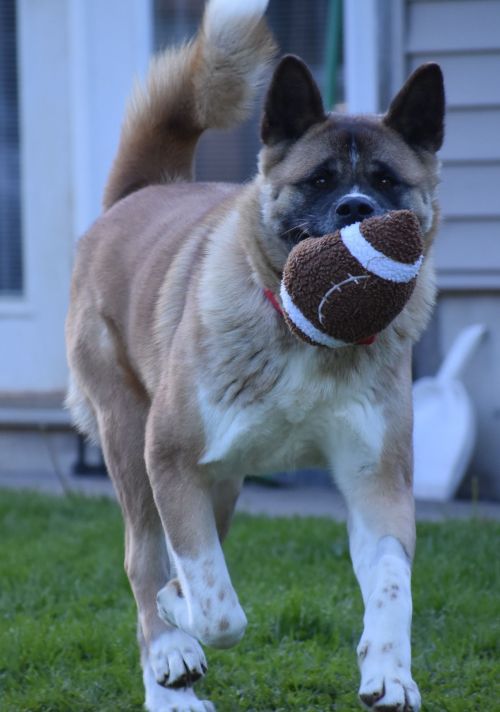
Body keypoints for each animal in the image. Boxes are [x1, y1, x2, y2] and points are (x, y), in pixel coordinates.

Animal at [65, 2, 446, 708]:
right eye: (319, 180)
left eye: (387, 182)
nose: (358, 208)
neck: (308, 335)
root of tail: (139, 193)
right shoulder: (171, 456)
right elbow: (217, 609)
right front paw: (181, 622)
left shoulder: (375, 479)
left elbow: (391, 581)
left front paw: (388, 671)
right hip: (131, 438)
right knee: (144, 558)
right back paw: (169, 673)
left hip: (222, 482)